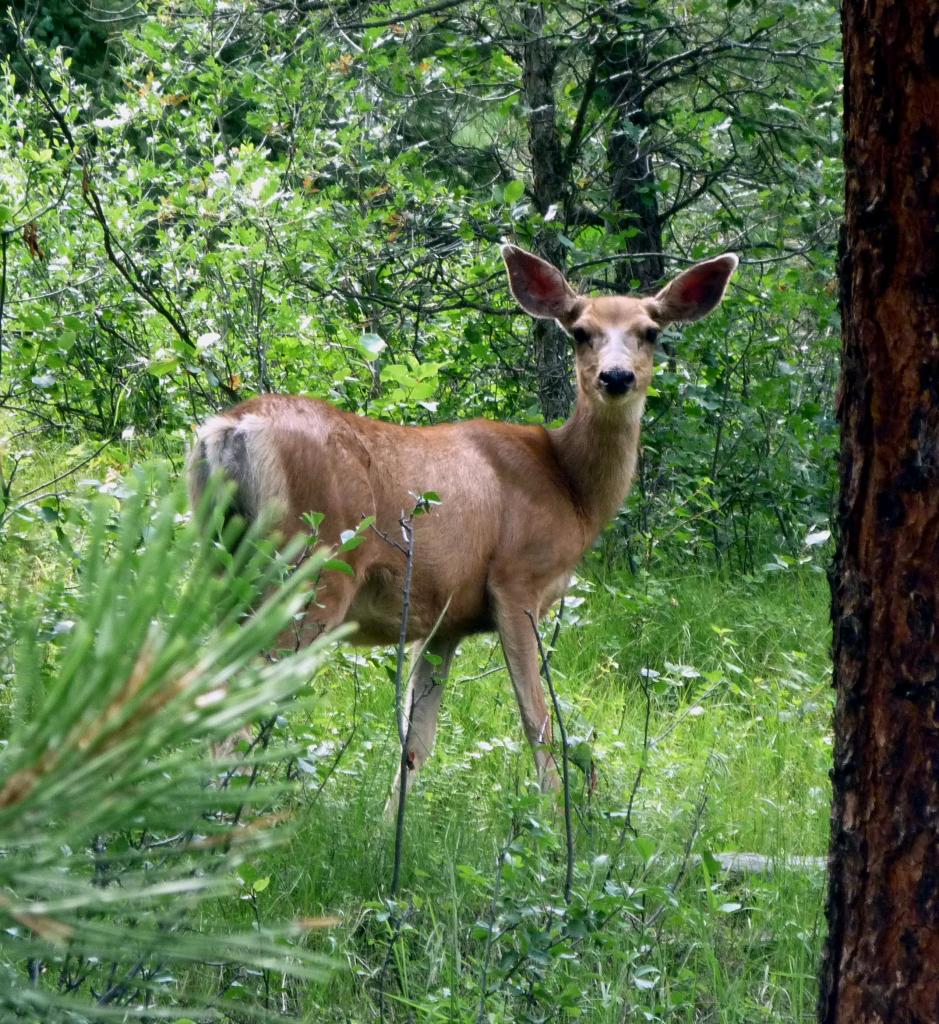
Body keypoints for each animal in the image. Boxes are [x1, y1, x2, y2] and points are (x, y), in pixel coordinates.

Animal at [188, 244, 737, 796]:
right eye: (580, 331)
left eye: (651, 331)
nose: (617, 377)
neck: (571, 488)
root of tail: (228, 430)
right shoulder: (515, 580)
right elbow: (537, 722)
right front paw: (552, 809)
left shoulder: (444, 618)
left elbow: (415, 742)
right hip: (310, 569)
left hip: (223, 567)